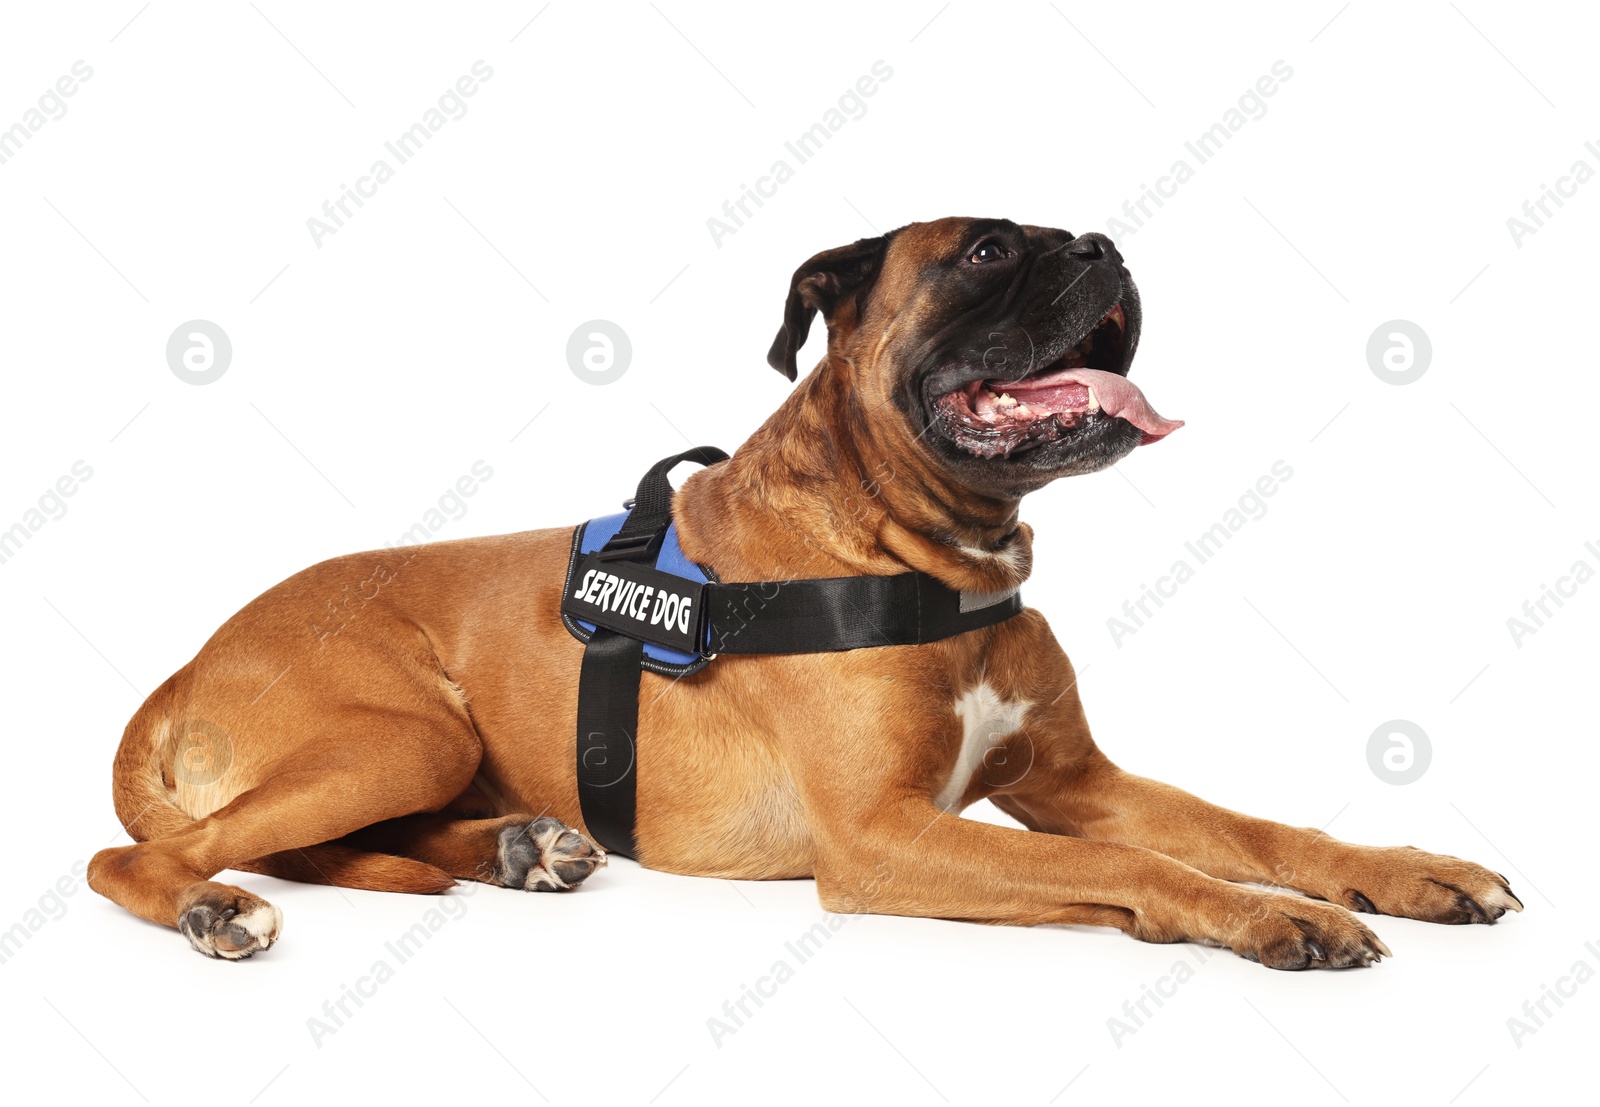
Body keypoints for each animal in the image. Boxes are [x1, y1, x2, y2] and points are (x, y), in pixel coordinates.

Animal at [90, 214, 1523, 959]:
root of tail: (182, 664)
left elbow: (1257, 827)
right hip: (404, 733)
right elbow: (1149, 870)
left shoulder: (1078, 784)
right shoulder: (882, 841)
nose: (1106, 247)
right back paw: (211, 906)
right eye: (986, 253)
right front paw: (1264, 919)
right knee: (151, 853)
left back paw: (517, 847)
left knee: (324, 845)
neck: (930, 552)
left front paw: (1404, 870)